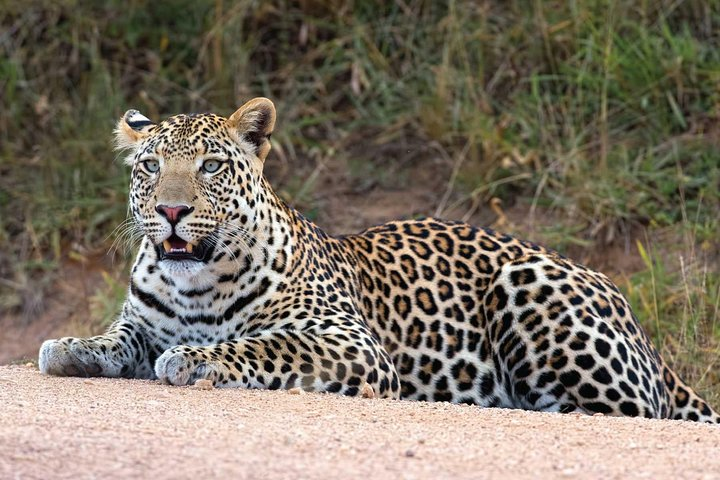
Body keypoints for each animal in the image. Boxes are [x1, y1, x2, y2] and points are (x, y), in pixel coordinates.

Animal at [39, 97, 719, 423]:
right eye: (151, 166)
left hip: (534, 295)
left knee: (630, 412)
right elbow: (118, 338)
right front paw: (72, 346)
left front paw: (196, 359)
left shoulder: (346, 341)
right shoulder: (142, 321)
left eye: (209, 166)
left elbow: (262, 344)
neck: (195, 285)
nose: (173, 210)